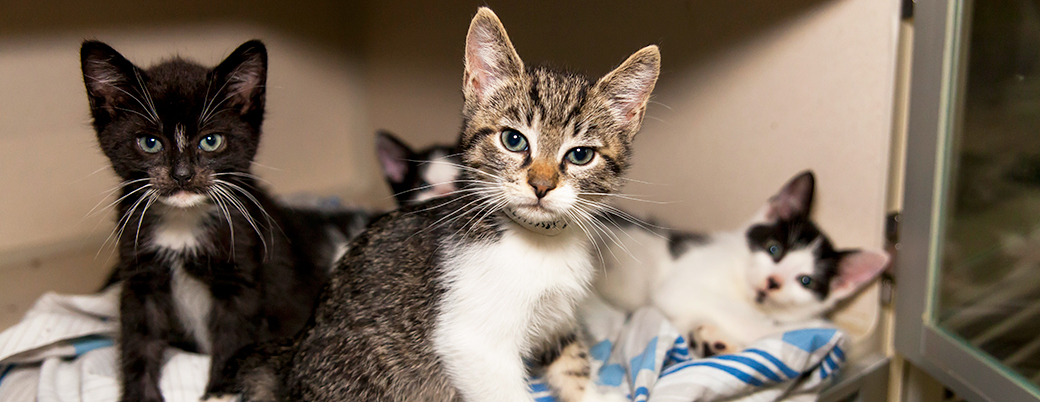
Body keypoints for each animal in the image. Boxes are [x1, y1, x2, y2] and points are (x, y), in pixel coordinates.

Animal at [83, 39, 341, 400]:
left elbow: (233, 336)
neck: (182, 221)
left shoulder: (242, 267)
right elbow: (139, 339)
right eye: (150, 143)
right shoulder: (139, 274)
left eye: (211, 141)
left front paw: (221, 391)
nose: (182, 175)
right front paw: (140, 394)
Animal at [218, 7, 657, 402]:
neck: (540, 240)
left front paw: (594, 394)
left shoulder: (556, 319)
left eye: (581, 155)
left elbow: (571, 361)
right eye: (514, 140)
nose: (541, 185)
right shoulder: (471, 344)